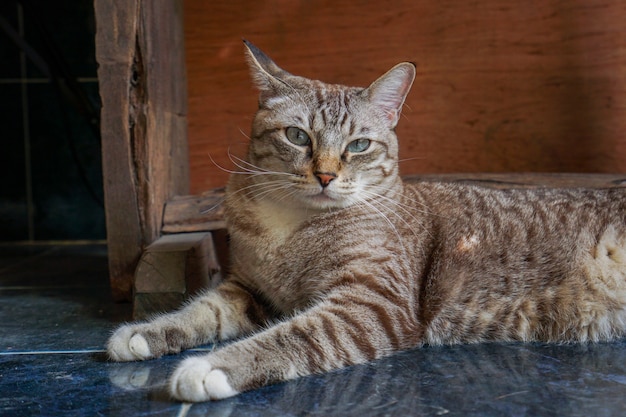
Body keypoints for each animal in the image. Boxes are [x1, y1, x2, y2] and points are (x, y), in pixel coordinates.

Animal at [107, 40, 624, 402]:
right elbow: (202, 310)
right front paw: (143, 333)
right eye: (298, 136)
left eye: (358, 145)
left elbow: (294, 335)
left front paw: (211, 367)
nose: (325, 175)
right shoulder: (251, 289)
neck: (292, 226)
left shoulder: (371, 303)